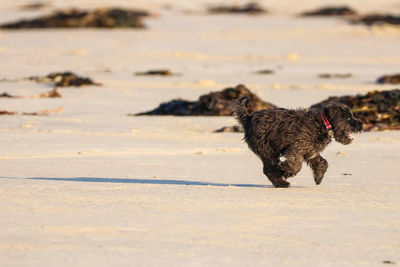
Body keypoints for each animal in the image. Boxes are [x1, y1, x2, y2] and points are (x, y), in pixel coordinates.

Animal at [233, 97, 364, 188]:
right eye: (348, 118)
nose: (361, 125)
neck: (322, 124)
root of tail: (248, 118)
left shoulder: (311, 152)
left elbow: (323, 163)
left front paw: (318, 177)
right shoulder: (297, 148)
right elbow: (296, 165)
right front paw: (286, 171)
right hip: (268, 149)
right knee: (268, 169)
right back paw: (282, 182)